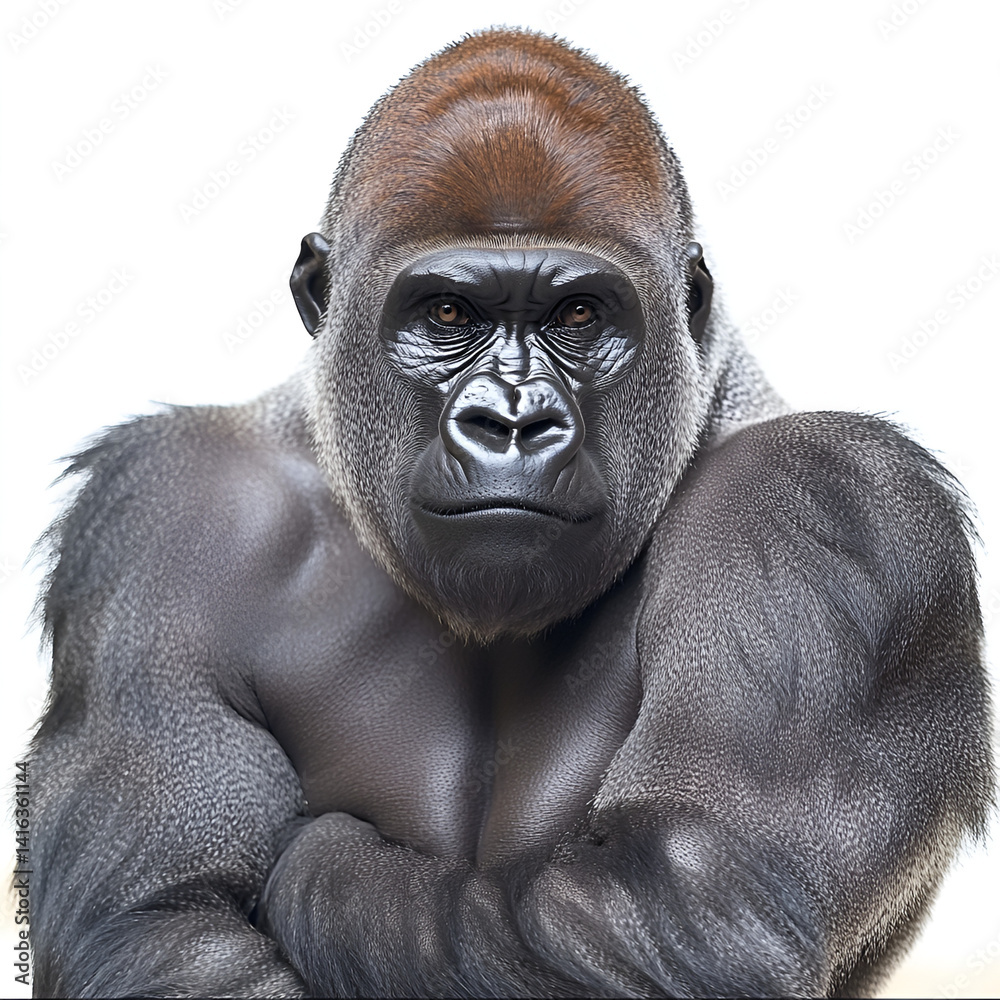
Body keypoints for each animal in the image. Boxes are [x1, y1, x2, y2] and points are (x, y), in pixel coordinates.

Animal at [27, 27, 992, 999]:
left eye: (579, 314)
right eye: (448, 312)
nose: (515, 422)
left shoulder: (826, 499)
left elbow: (683, 900)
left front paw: (324, 862)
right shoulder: (170, 515)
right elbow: (164, 926)